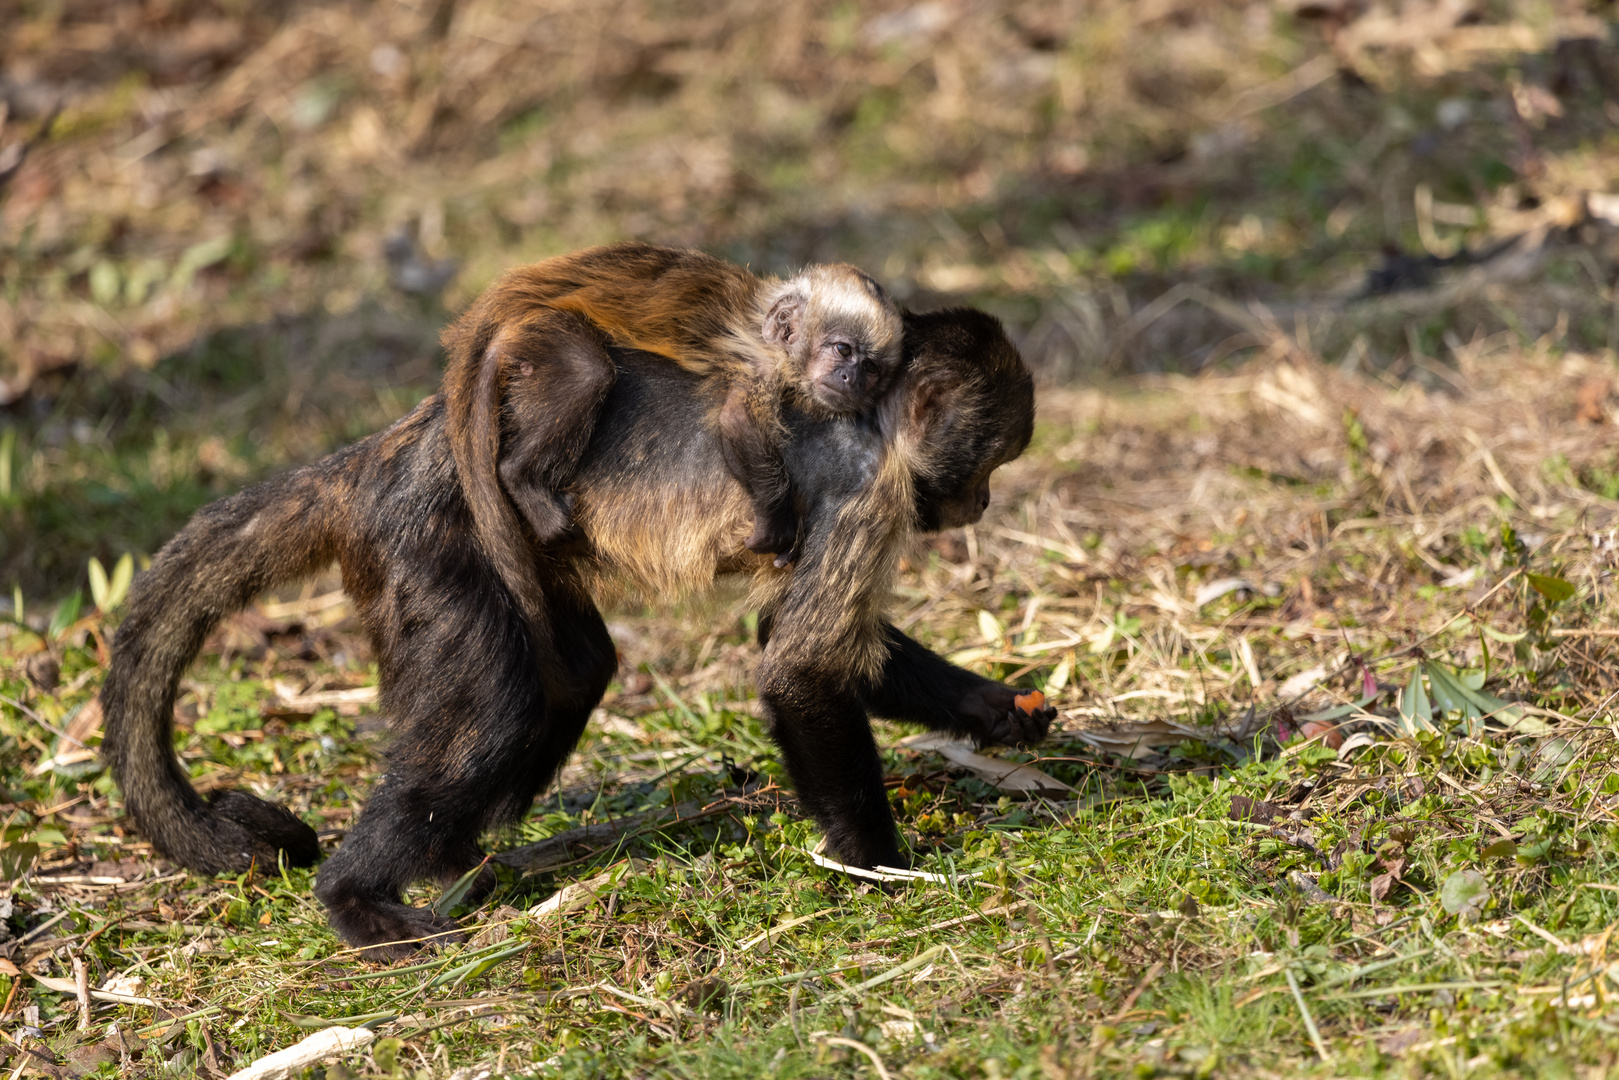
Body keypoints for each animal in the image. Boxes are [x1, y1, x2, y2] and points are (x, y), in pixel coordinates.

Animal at [101, 293, 1049, 952]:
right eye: (990, 462)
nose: (980, 502)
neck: (878, 418)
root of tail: (389, 453)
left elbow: (790, 637)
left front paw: (994, 711)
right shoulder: (869, 488)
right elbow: (799, 670)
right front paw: (874, 862)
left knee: (573, 671)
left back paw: (457, 855)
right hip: (435, 542)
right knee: (495, 707)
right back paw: (355, 895)